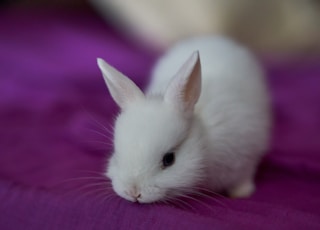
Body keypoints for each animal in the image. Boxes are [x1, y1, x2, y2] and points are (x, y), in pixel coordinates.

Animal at [97, 35, 270, 203]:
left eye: (169, 159)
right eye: (117, 155)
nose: (133, 192)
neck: (204, 142)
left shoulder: (245, 154)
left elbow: (243, 177)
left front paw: (242, 193)